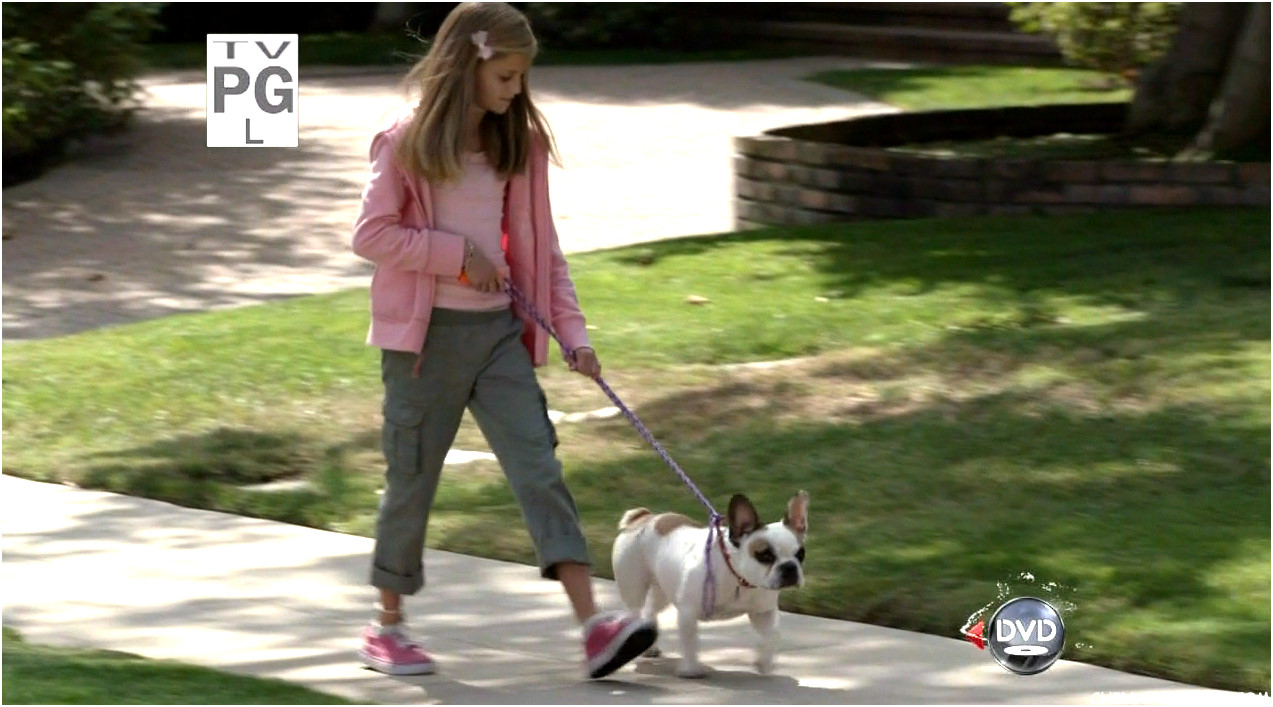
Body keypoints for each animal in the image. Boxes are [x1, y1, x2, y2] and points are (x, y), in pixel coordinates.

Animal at [610, 491, 809, 678]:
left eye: (800, 554)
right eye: (765, 555)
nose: (789, 567)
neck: (738, 578)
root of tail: (644, 517)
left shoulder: (763, 612)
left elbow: (773, 635)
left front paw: (764, 663)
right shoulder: (688, 612)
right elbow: (690, 642)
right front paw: (691, 670)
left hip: (662, 590)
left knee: (650, 610)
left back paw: (651, 646)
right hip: (633, 586)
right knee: (636, 610)